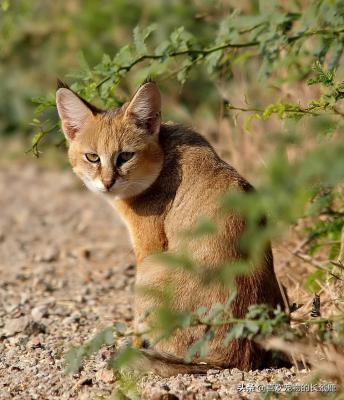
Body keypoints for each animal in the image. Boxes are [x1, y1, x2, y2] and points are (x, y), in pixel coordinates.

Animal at [55, 79, 284, 376]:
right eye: (92, 157)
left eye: (125, 156)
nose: (107, 183)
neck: (165, 152)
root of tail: (241, 356)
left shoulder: (148, 248)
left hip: (151, 269)